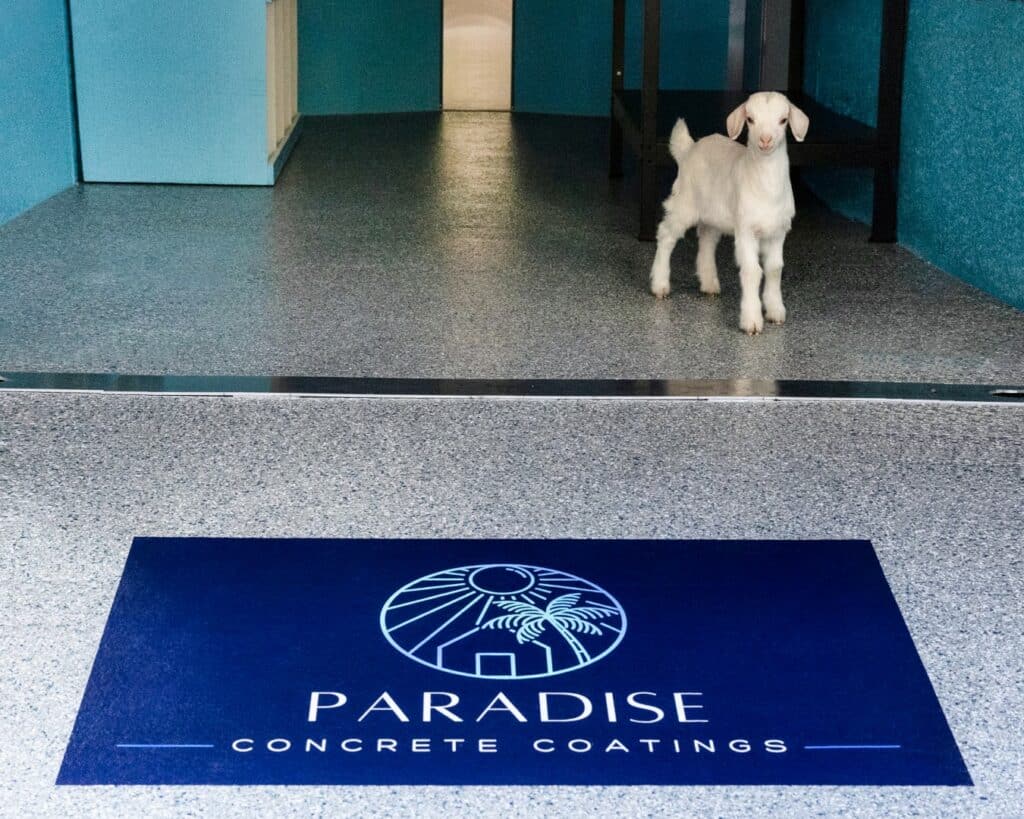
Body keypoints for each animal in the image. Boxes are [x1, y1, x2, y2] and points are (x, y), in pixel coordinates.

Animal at [651, 90, 811, 331]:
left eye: (783, 120)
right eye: (750, 119)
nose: (765, 140)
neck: (766, 187)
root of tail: (689, 149)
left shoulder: (778, 232)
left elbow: (774, 269)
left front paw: (775, 312)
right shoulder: (745, 229)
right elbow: (752, 270)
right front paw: (752, 321)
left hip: (713, 215)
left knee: (707, 241)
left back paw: (709, 284)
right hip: (684, 202)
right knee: (666, 235)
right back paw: (660, 284)